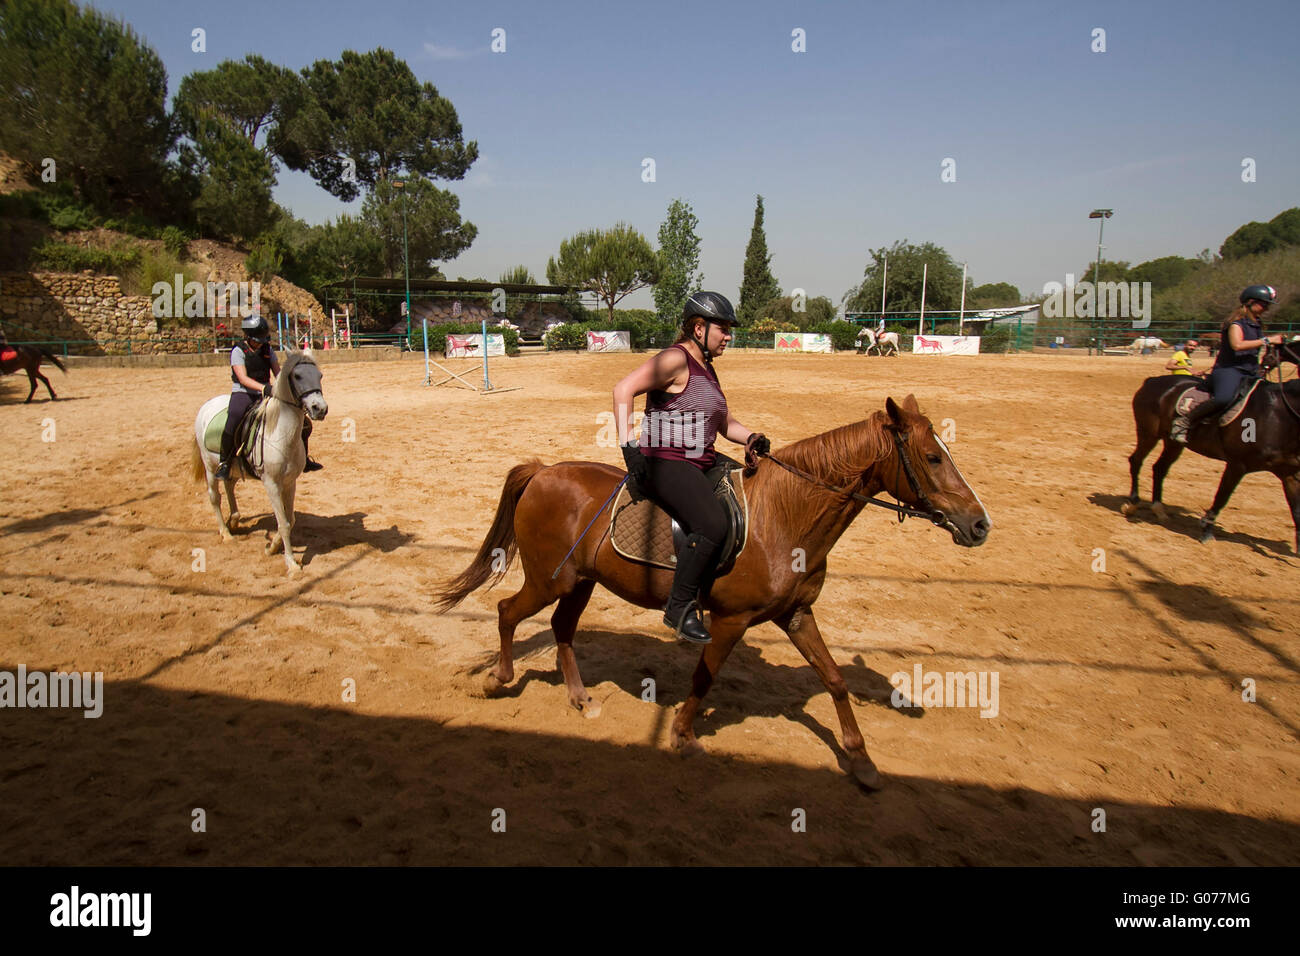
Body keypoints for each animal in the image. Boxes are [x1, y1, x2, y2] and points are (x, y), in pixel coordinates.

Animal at [189, 349, 329, 574]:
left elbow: (290, 519)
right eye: (297, 376)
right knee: (214, 497)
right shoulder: (271, 484)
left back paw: (234, 520)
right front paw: (291, 564)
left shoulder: (290, 482)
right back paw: (226, 533)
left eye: (320, 375)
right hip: (209, 467)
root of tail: (208, 404)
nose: (320, 408)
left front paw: (272, 548)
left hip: (234, 468)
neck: (281, 435)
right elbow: (283, 523)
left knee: (229, 485)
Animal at [433, 394, 991, 790]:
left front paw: (861, 760)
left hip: (579, 583)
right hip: (550, 580)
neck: (782, 516)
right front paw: (683, 737)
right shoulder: (729, 620)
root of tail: (544, 470)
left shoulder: (797, 614)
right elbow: (705, 678)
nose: (980, 524)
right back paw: (500, 679)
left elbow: (833, 679)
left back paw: (580, 698)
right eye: (931, 458)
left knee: (561, 628)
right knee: (508, 611)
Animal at [1121, 344, 1300, 552]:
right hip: (1148, 434)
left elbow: (1296, 511)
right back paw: (1133, 502)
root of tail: (1151, 381)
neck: (1278, 413)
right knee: (1136, 460)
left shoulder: (1289, 473)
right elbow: (1222, 497)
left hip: (1174, 443)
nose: (1266, 363)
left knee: (1159, 468)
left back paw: (1159, 508)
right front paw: (1207, 531)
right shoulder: (1237, 465)